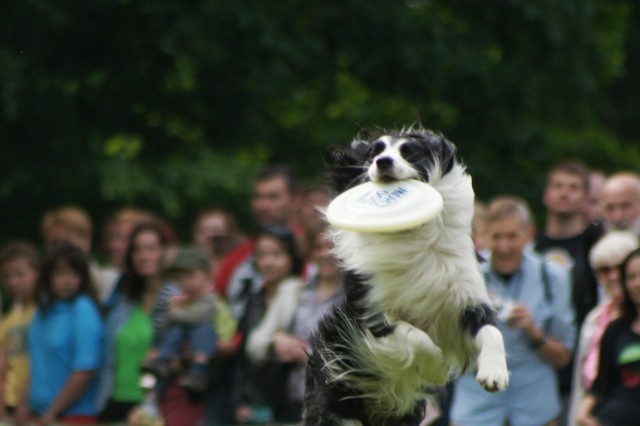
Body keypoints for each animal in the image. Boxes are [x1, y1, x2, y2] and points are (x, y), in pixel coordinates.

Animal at [302, 128, 508, 424]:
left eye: (408, 152)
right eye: (375, 152)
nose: (383, 162)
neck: (412, 234)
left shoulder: (464, 299)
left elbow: (491, 331)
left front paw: (494, 373)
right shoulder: (373, 312)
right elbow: (416, 337)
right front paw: (437, 368)